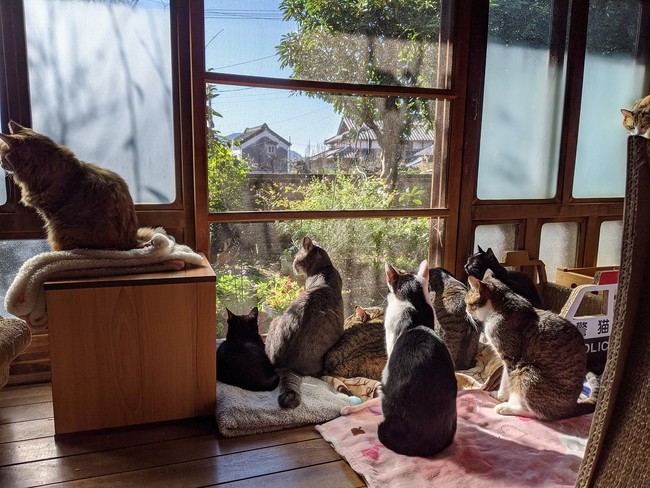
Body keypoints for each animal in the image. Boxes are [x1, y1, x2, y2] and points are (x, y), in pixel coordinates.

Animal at [464, 270, 596, 420]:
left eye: (467, 303)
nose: (466, 311)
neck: (499, 307)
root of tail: (573, 408)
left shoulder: (511, 359)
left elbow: (508, 383)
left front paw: (502, 399)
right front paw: (499, 396)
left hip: (527, 370)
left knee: (536, 413)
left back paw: (507, 409)